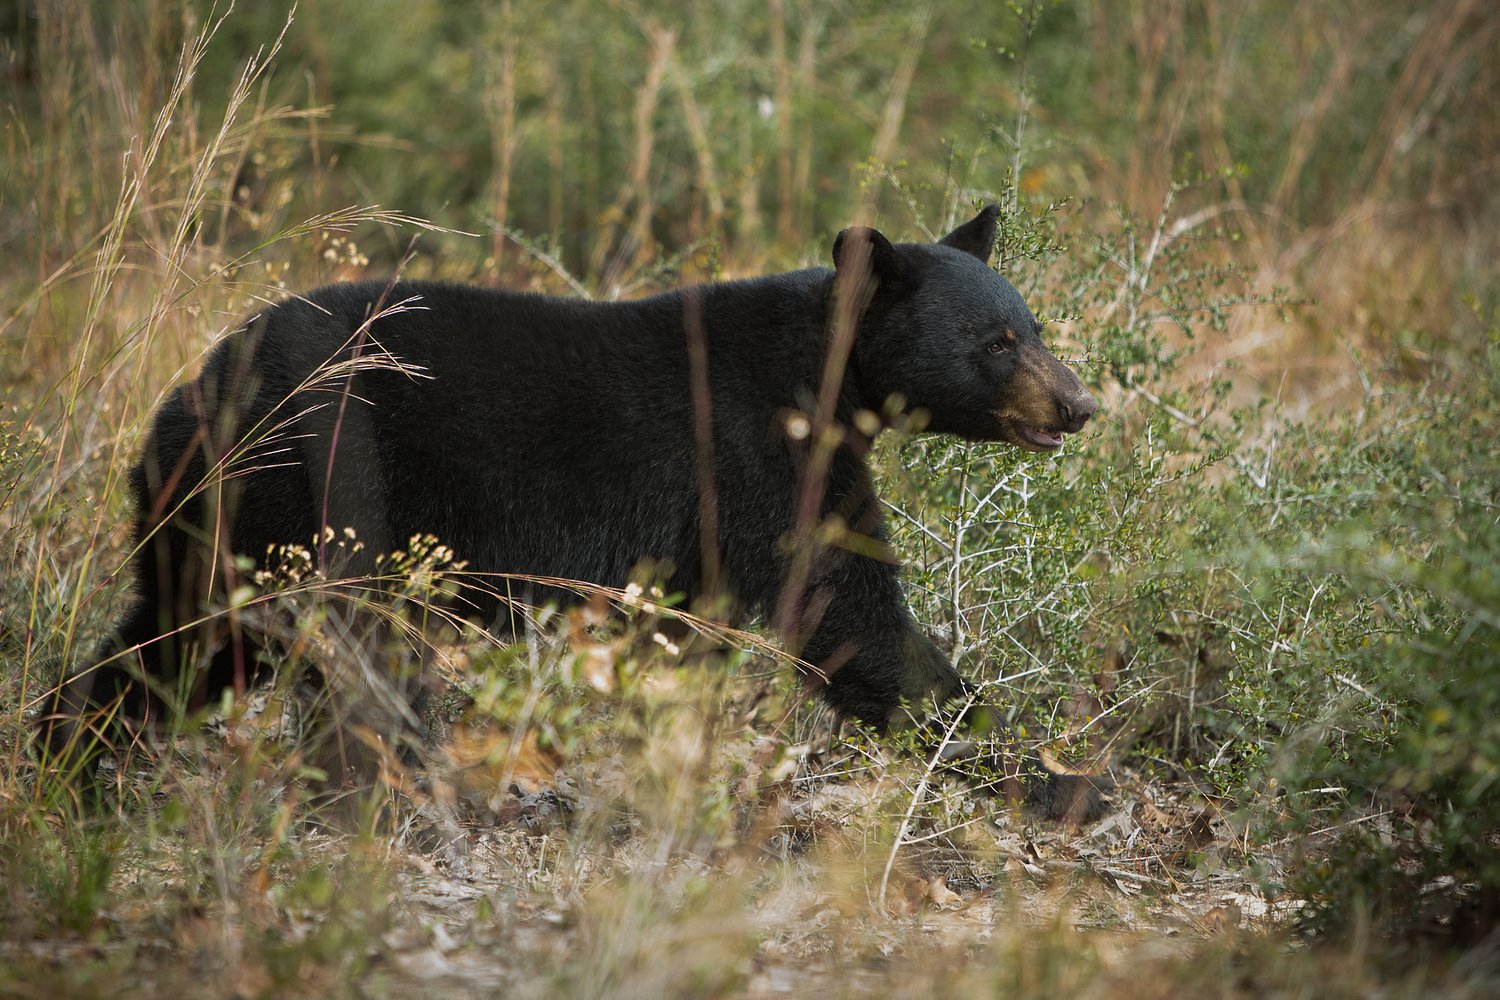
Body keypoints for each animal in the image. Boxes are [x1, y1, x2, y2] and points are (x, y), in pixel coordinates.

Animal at [41, 206, 1101, 814]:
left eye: (1034, 326)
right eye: (997, 342)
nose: (1080, 405)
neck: (822, 378)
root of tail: (194, 390)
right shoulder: (755, 456)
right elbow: (850, 612)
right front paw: (1054, 780)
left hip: (213, 522)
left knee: (179, 641)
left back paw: (72, 761)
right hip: (314, 496)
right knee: (333, 653)